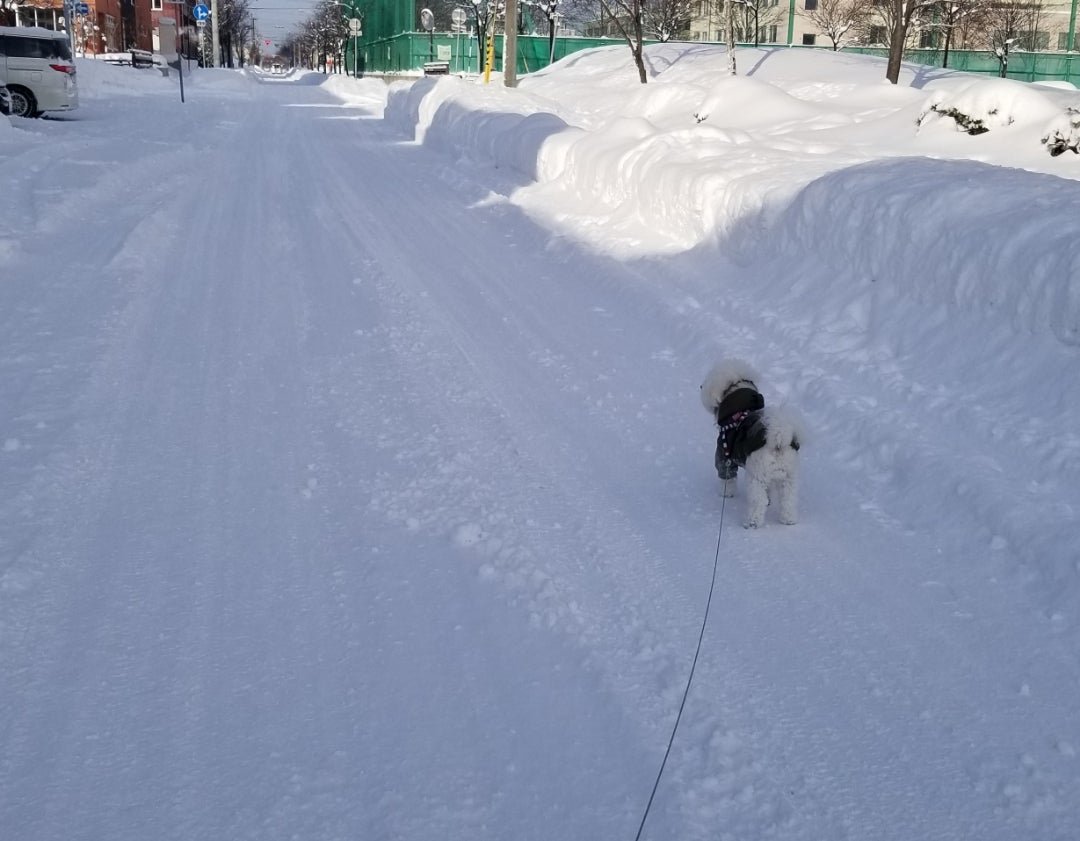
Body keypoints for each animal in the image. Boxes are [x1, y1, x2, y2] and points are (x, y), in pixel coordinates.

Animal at [699, 358, 803, 528]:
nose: (700, 386)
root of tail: (778, 439)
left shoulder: (724, 457)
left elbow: (727, 478)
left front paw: (726, 494)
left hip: (757, 478)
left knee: (758, 501)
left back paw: (752, 522)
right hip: (788, 478)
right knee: (788, 500)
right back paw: (789, 520)